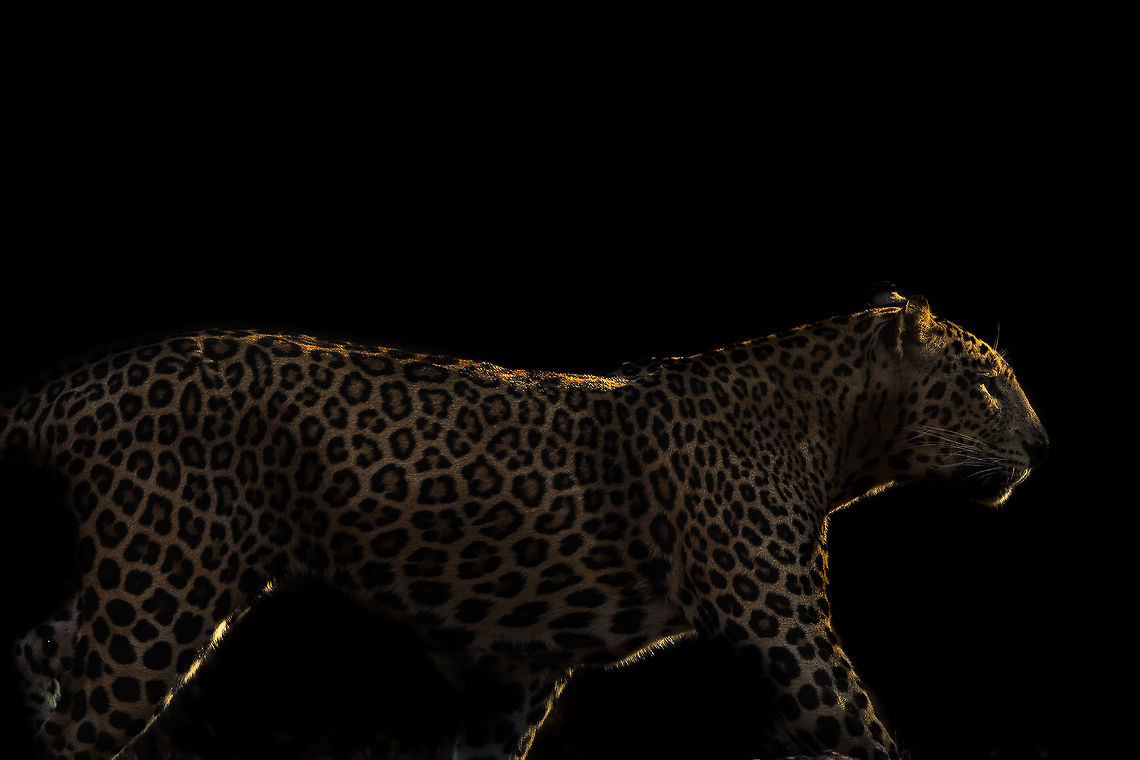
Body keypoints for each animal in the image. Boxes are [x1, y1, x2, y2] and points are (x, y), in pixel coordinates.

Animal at [1, 287, 1048, 760]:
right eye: (985, 384)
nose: (1044, 444)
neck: (834, 438)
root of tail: (70, 388)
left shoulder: (518, 668)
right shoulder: (786, 633)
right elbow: (865, 733)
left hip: (144, 583)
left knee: (38, 647)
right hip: (160, 602)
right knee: (84, 727)